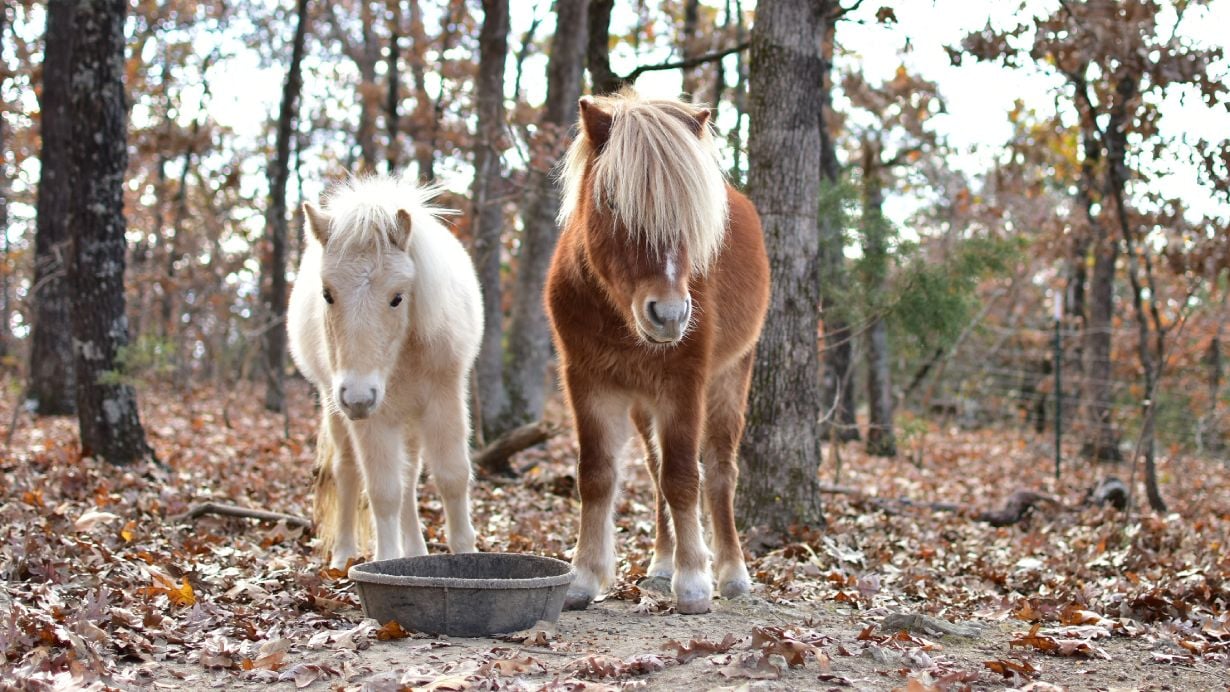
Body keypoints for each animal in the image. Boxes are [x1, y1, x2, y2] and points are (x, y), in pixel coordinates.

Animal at [287, 174, 482, 569]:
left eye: (397, 297)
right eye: (327, 293)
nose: (358, 397)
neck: (402, 355)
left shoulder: (444, 399)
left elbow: (452, 477)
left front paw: (466, 555)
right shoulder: (372, 418)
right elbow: (383, 491)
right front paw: (386, 561)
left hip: (409, 419)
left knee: (409, 476)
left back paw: (416, 551)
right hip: (339, 410)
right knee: (348, 471)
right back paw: (343, 556)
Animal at [546, 91, 770, 614]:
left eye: (691, 212)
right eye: (612, 202)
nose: (668, 315)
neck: (616, 315)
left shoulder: (684, 385)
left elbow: (685, 476)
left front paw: (694, 583)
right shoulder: (588, 382)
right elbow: (596, 475)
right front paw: (584, 577)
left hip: (730, 379)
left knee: (720, 471)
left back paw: (732, 573)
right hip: (643, 404)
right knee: (654, 469)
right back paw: (661, 564)